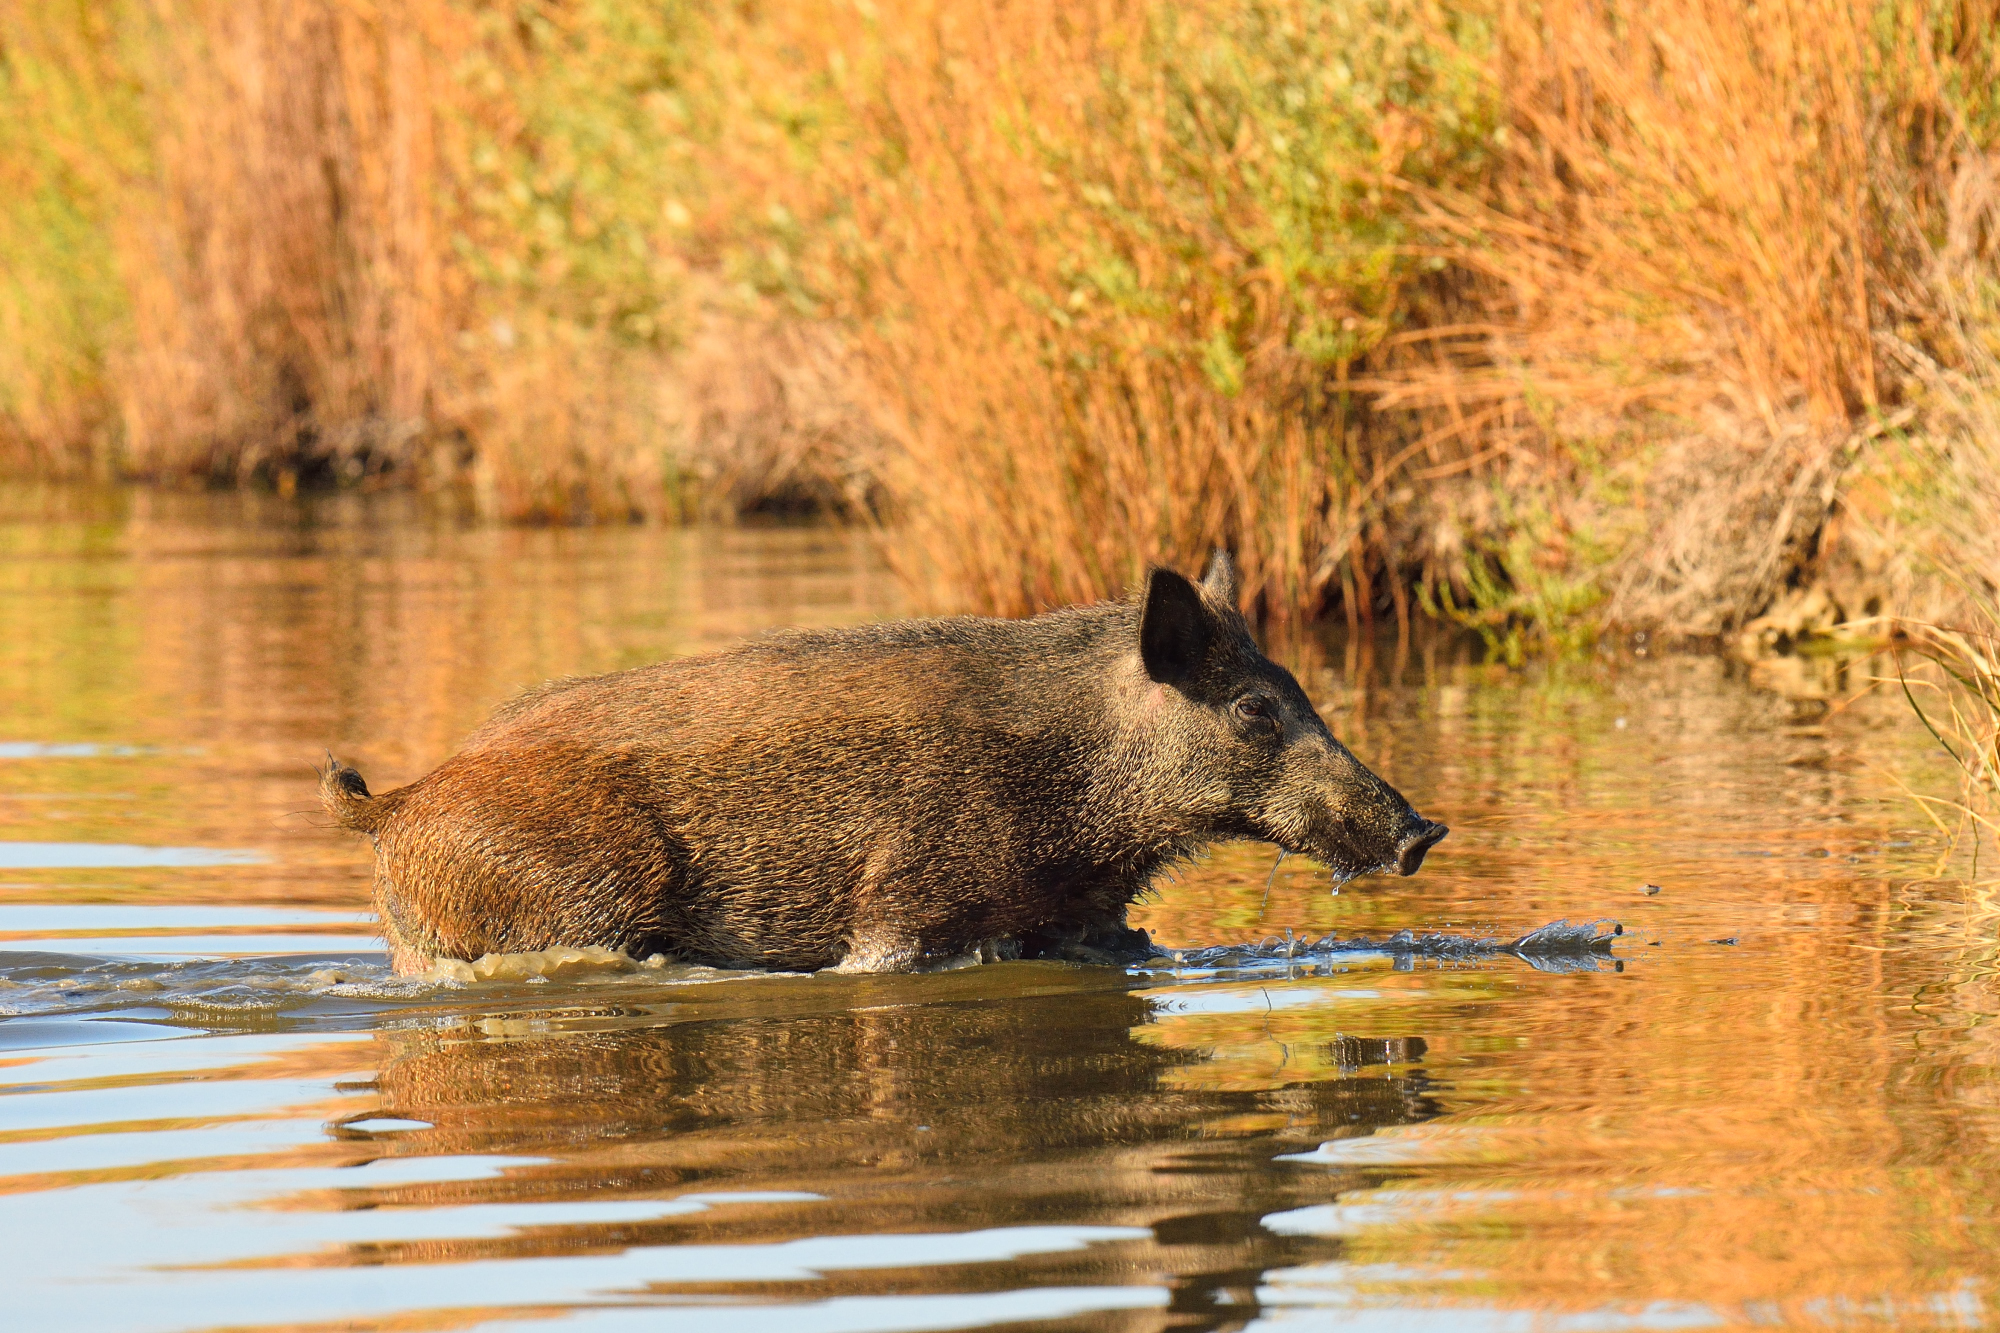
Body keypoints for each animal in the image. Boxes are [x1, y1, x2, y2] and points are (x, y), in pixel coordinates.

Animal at [321, 553, 1447, 974]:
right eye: (1255, 707)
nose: (1423, 829)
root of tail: (396, 804)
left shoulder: (1087, 918)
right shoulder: (901, 904)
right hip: (571, 894)